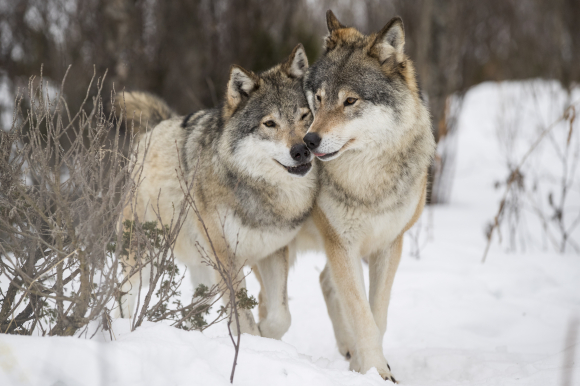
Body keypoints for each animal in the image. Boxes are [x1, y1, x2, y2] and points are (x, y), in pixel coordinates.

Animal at [117, 44, 318, 340]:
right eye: (269, 124)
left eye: (305, 116)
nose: (301, 150)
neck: (261, 191)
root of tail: (152, 129)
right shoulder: (226, 259)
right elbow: (244, 320)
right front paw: (254, 342)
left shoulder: (273, 252)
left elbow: (281, 317)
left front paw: (267, 336)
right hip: (145, 257)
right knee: (122, 294)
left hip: (203, 271)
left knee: (194, 306)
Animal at [302, 10, 432, 382]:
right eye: (319, 98)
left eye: (350, 101)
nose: (308, 141)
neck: (366, 182)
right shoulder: (341, 244)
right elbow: (363, 317)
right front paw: (375, 370)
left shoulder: (389, 245)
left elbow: (377, 315)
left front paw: (372, 368)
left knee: (325, 281)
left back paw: (348, 352)